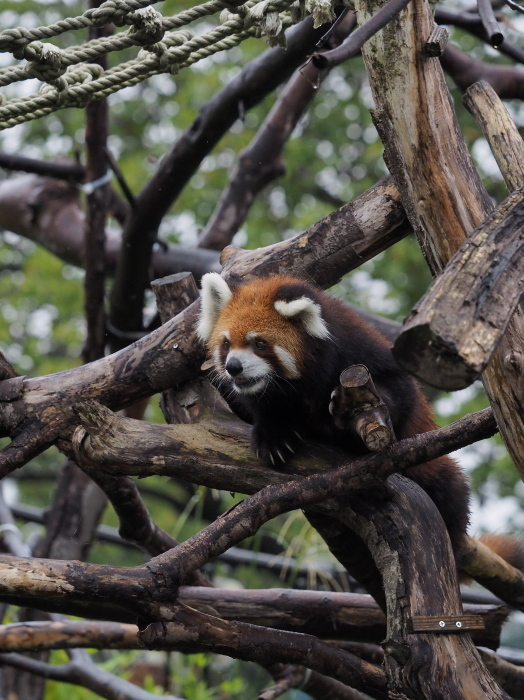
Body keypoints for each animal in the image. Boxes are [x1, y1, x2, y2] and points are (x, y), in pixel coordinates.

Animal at [195, 272, 512, 564]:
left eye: (259, 343)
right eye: (226, 343)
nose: (234, 367)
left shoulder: (357, 349)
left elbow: (399, 391)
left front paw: (351, 408)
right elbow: (263, 409)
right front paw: (274, 436)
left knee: (450, 490)